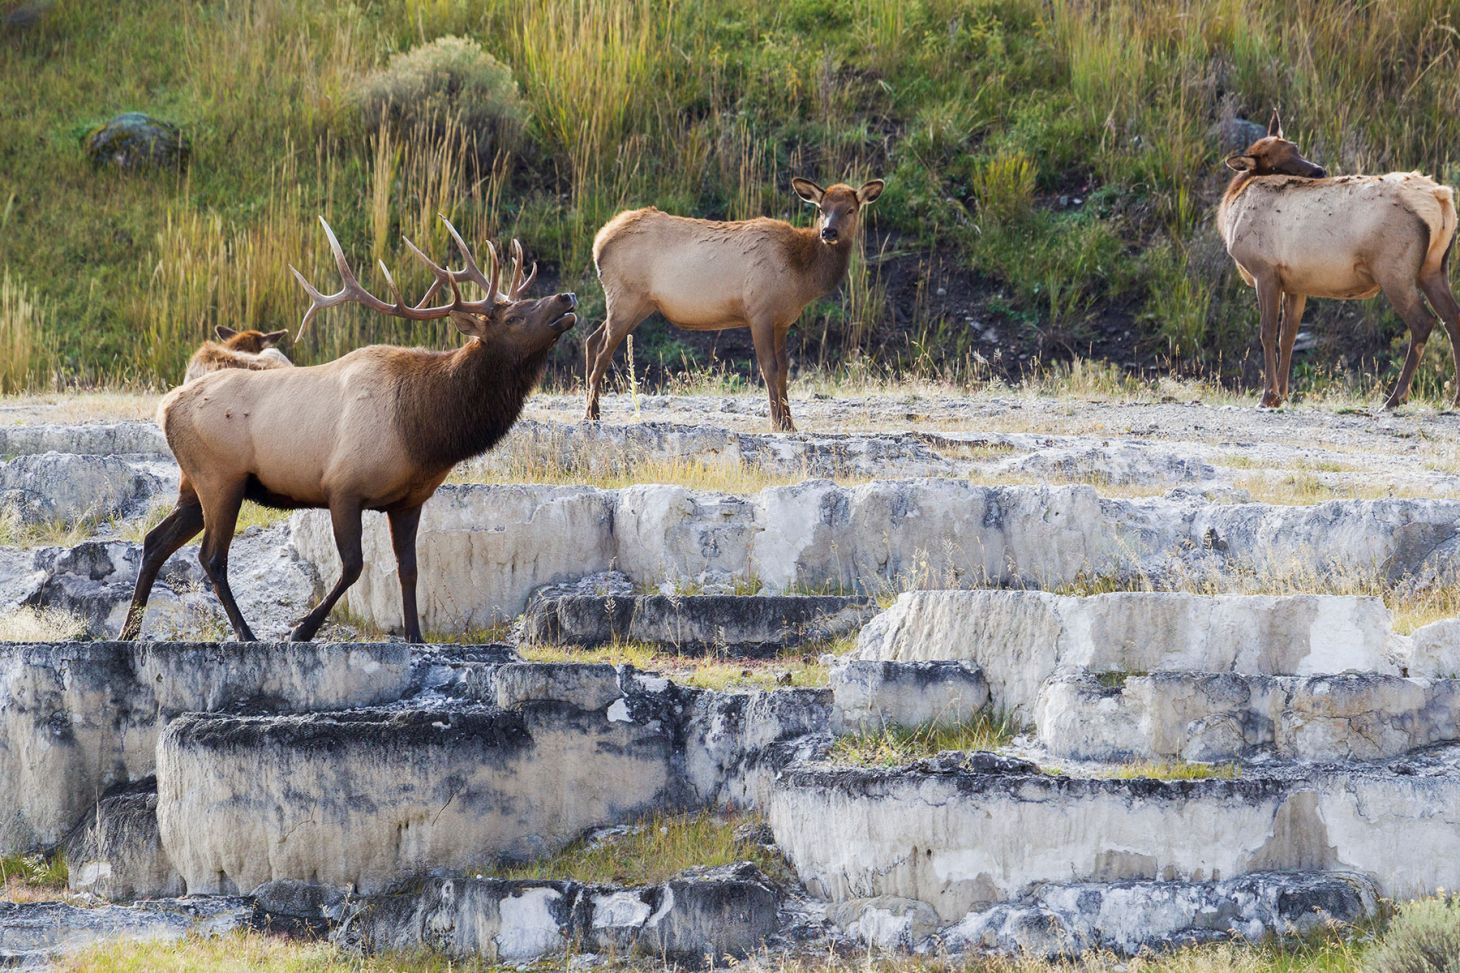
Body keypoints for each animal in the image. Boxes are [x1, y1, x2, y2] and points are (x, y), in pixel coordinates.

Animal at [119, 216, 576, 643]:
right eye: (514, 316)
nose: (566, 297)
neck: (426, 433)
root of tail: (166, 407)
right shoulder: (342, 486)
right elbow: (354, 566)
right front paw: (301, 631)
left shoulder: (409, 500)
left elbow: (409, 569)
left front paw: (415, 636)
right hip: (220, 477)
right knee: (211, 556)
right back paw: (246, 635)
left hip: (193, 484)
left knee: (154, 541)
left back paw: (128, 631)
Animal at [583, 177, 885, 431]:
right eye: (822, 208)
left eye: (850, 210)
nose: (828, 232)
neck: (801, 277)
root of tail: (598, 243)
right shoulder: (759, 311)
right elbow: (769, 368)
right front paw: (778, 423)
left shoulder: (782, 321)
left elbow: (784, 370)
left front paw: (790, 424)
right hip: (626, 297)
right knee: (603, 350)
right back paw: (590, 414)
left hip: (637, 303)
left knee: (592, 339)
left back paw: (592, 409)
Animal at [1219, 110, 1460, 408]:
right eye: (1276, 163)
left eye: (1295, 148)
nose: (1319, 171)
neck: (1230, 208)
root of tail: (1440, 198)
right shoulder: (1296, 283)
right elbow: (1288, 336)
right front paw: (1283, 394)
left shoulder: (1265, 271)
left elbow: (1267, 333)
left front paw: (1268, 396)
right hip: (1434, 267)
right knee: (1453, 319)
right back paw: (1455, 398)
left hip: (1394, 269)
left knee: (1422, 322)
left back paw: (1395, 397)